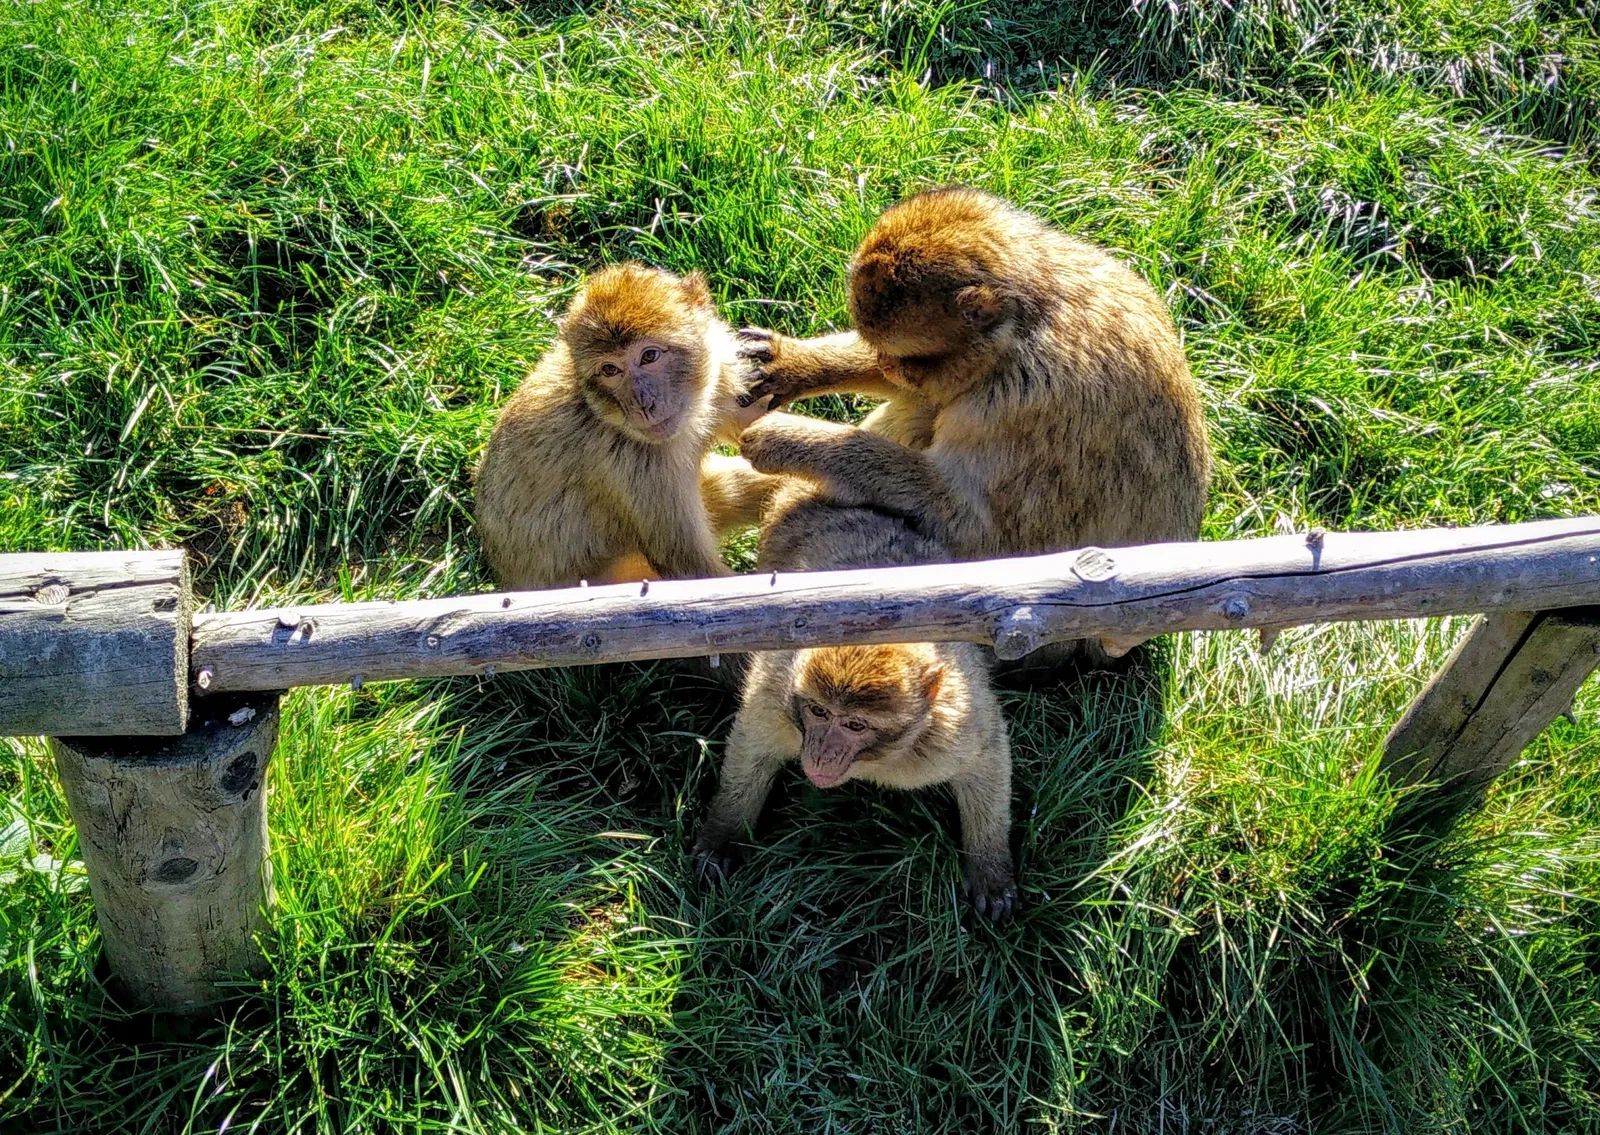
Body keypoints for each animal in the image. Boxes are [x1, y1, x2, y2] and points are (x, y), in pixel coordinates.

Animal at [474, 263, 781, 591]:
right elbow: (690, 568)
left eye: (649, 356)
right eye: (610, 369)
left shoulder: (720, 374)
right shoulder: (633, 465)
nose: (642, 404)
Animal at [691, 479, 1017, 921]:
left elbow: (988, 759)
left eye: (854, 725)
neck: (875, 761)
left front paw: (990, 867)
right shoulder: (775, 695)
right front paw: (723, 834)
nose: (821, 755)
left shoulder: (952, 731)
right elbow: (752, 748)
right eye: (819, 711)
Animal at [734, 187, 1212, 668]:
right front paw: (794, 365)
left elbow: (979, 533)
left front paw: (785, 439)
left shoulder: (1022, 406)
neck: (1023, 328)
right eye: (885, 353)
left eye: (910, 357)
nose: (888, 365)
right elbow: (926, 399)